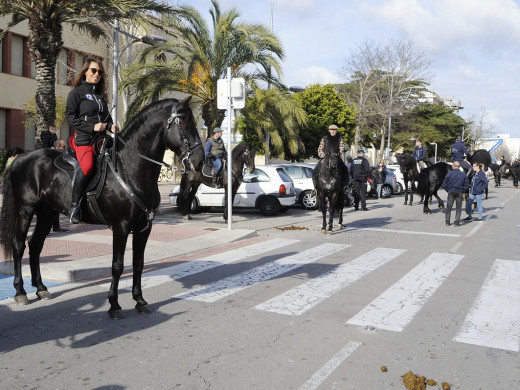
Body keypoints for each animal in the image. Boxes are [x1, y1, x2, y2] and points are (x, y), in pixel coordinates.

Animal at [0, 96, 203, 316]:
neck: (129, 169)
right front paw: (114, 304)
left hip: (47, 213)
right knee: (19, 245)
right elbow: (118, 265)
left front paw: (140, 300)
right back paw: (21, 292)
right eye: (184, 123)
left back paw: (41, 288)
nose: (201, 160)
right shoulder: (121, 227)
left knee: (36, 245)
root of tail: (22, 157)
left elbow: (138, 264)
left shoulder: (144, 227)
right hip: (26, 210)